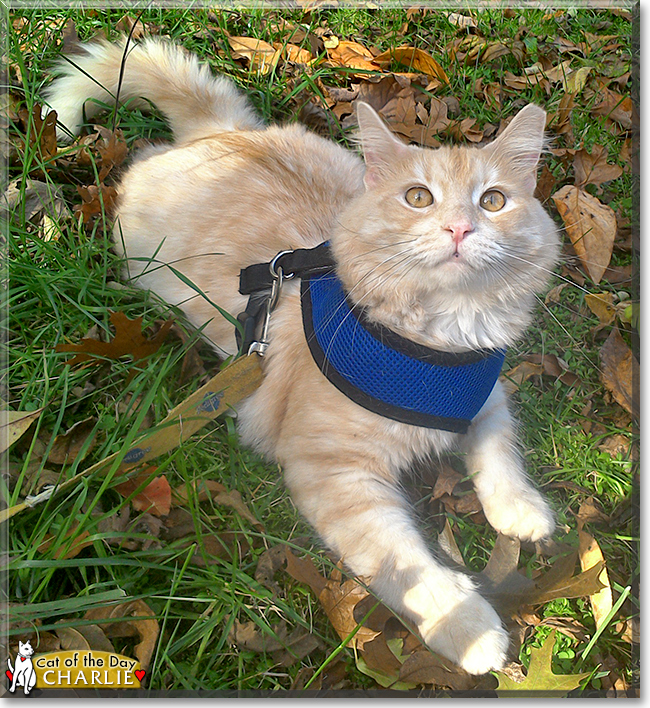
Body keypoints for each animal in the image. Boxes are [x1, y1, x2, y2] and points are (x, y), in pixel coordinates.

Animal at [45, 34, 560, 676]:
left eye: (493, 201)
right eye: (418, 198)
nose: (460, 229)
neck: (441, 343)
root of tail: (222, 131)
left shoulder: (484, 394)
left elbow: (499, 454)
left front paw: (521, 509)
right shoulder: (333, 471)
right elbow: (409, 566)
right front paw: (465, 629)